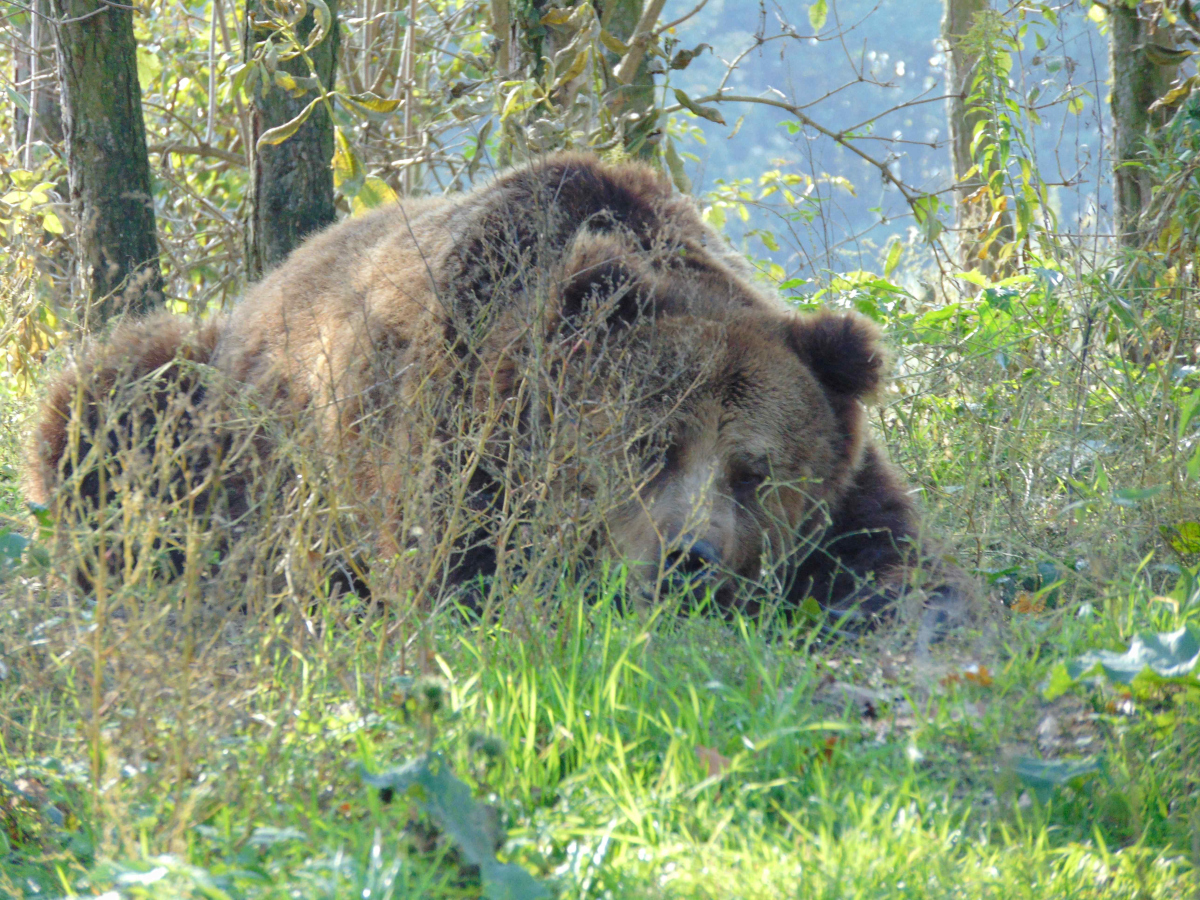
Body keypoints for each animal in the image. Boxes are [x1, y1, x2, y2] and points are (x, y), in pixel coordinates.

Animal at [25, 151, 964, 628]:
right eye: (646, 445)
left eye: (756, 470)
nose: (688, 560)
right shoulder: (444, 439)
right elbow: (463, 573)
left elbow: (890, 548)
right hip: (210, 411)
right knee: (108, 401)